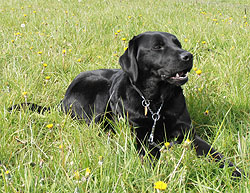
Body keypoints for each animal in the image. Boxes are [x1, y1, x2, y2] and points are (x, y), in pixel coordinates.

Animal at [9, 30, 240, 177]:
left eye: (178, 44)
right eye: (158, 46)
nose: (188, 56)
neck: (155, 102)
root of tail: (62, 100)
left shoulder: (187, 132)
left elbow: (212, 151)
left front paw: (233, 170)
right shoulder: (138, 134)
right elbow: (150, 152)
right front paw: (158, 171)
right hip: (100, 88)